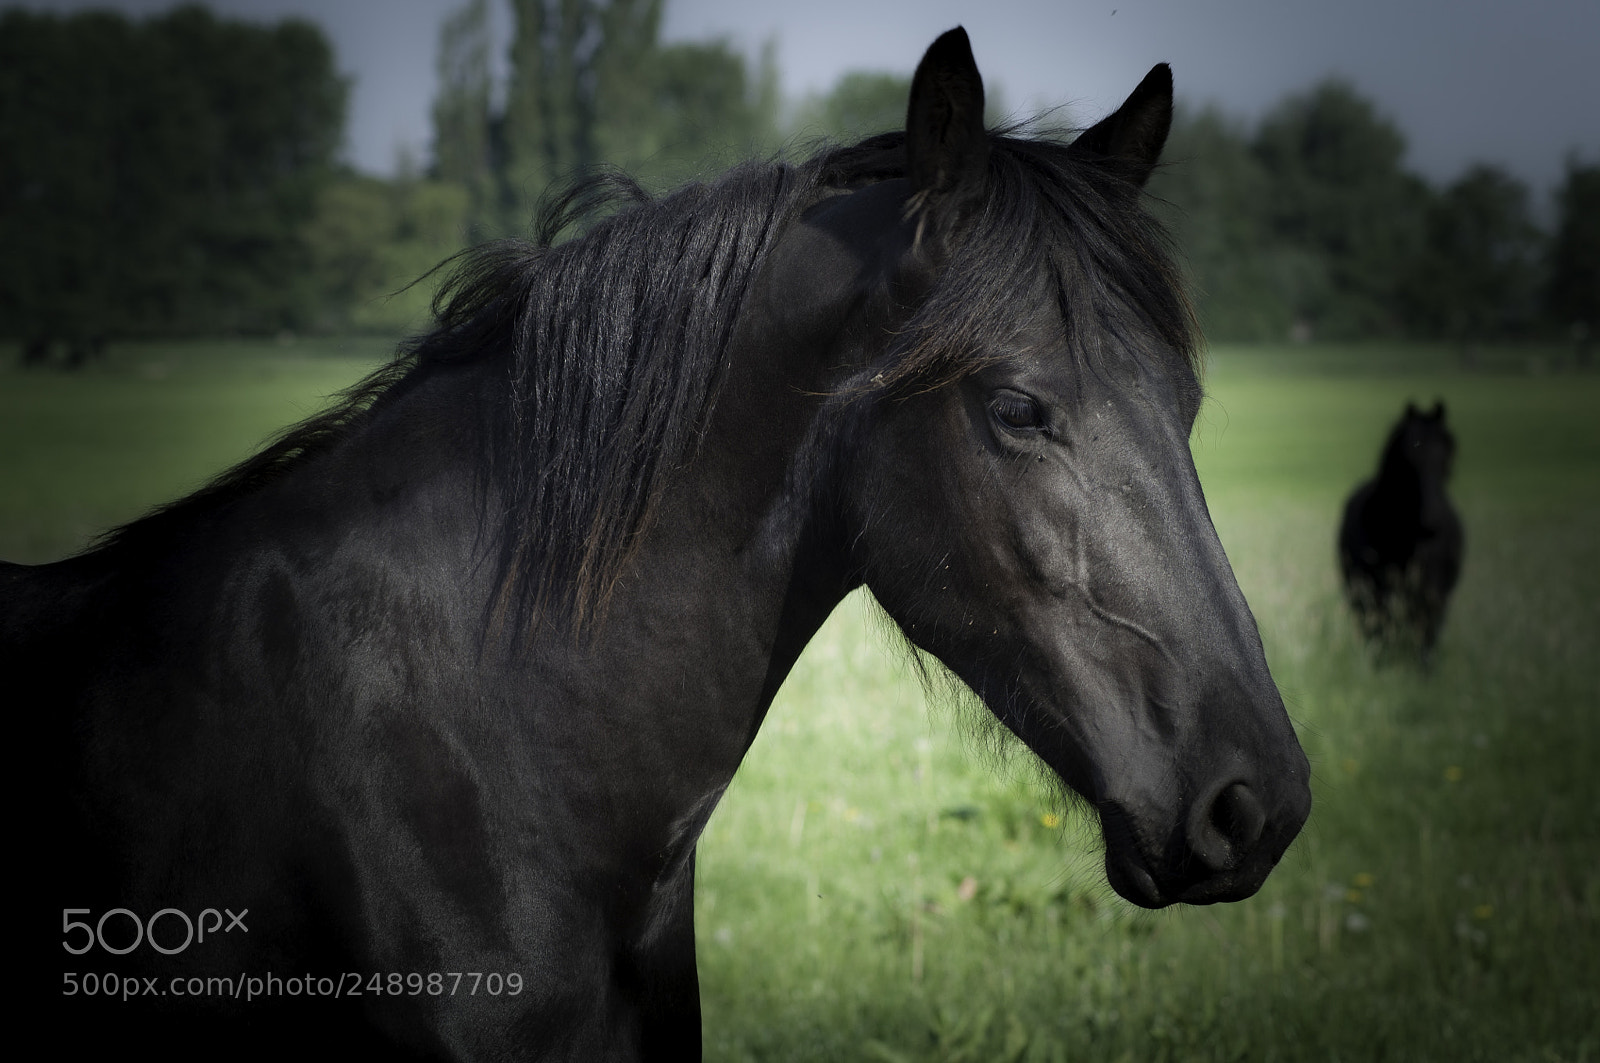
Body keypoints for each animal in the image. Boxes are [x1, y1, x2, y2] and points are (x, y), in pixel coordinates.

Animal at [1338, 400, 1465, 662]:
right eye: (1410, 454)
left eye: (1447, 455)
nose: (1432, 520)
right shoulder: (1375, 594)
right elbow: (1381, 639)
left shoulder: (1432, 597)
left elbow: (1423, 645)